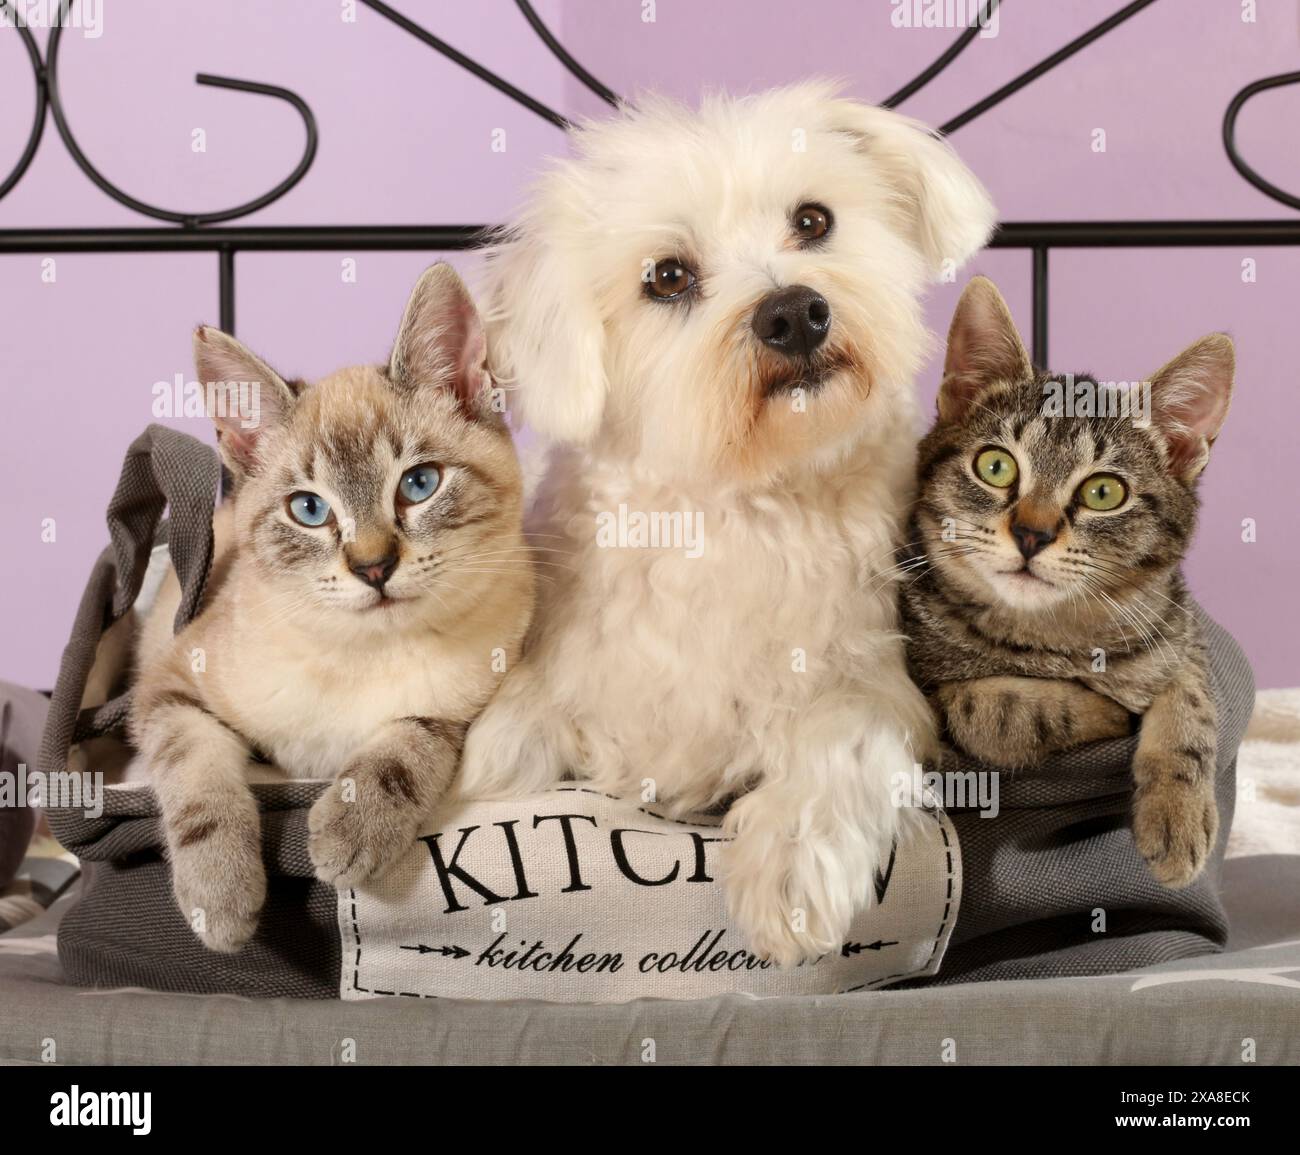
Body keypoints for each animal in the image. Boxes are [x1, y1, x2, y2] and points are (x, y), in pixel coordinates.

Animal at [129, 266, 535, 952]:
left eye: (419, 484)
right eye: (309, 510)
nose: (373, 567)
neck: (359, 653)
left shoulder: (462, 706)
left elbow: (405, 747)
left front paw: (352, 827)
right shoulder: (167, 685)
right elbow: (197, 774)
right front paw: (220, 896)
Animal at [457, 83, 993, 967]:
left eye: (812, 219)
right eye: (668, 276)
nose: (795, 312)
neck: (742, 506)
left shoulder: (877, 679)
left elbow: (843, 730)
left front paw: (792, 863)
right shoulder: (566, 681)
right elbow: (504, 751)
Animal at [899, 275, 1232, 889]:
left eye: (1104, 492)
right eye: (996, 466)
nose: (1032, 533)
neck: (1055, 641)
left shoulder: (1180, 625)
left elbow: (1191, 696)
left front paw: (1178, 812)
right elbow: (989, 706)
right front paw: (1105, 710)